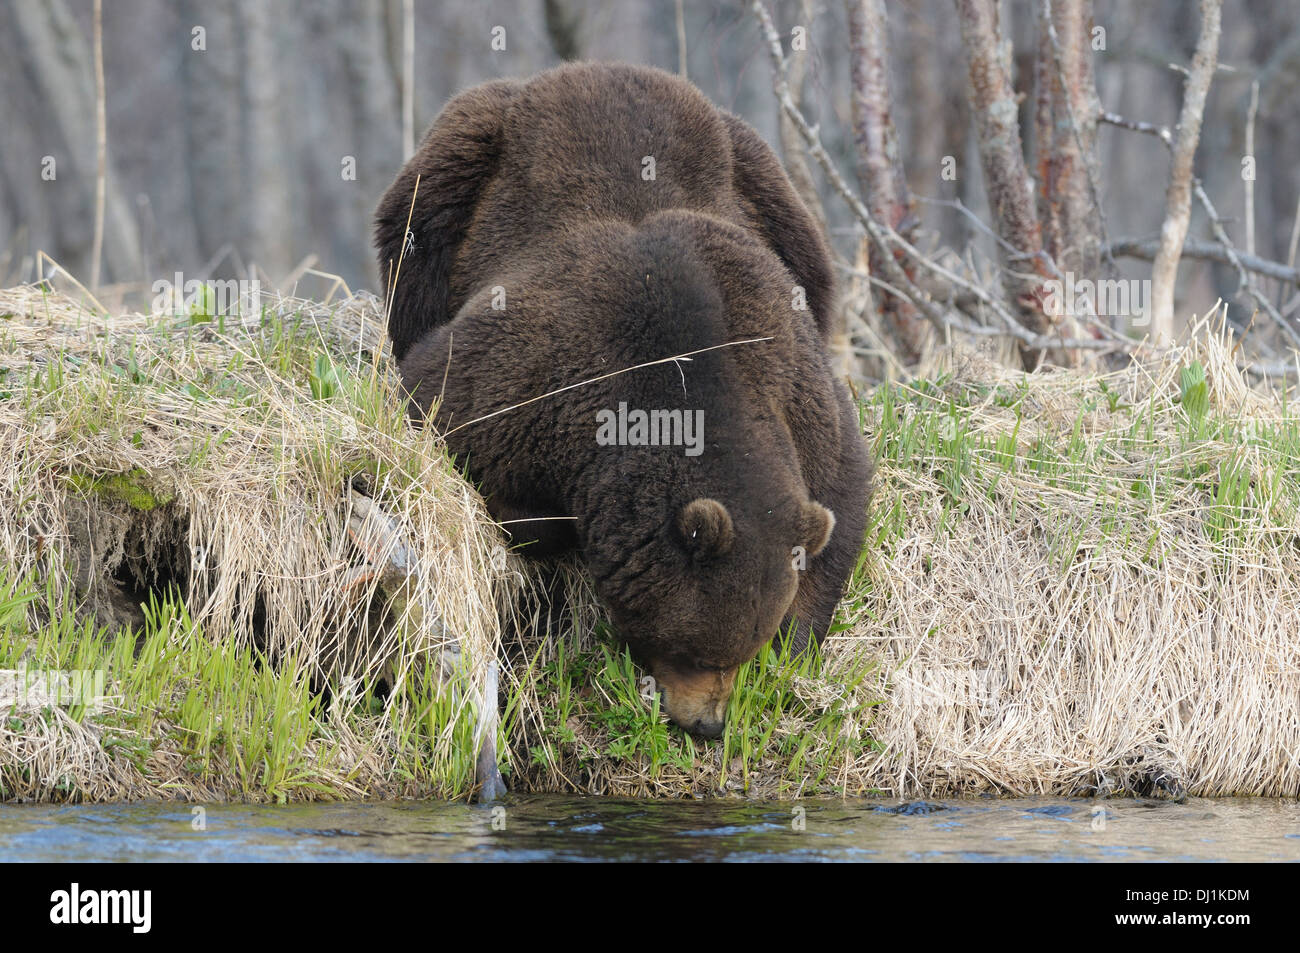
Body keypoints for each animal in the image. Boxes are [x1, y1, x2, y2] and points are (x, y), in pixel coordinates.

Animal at [377, 63, 873, 738]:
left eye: (739, 652)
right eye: (696, 650)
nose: (707, 725)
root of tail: (588, 69)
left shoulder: (795, 382)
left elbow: (840, 501)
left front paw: (796, 643)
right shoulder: (536, 369)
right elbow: (442, 413)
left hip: (768, 188)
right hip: (458, 169)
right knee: (417, 246)